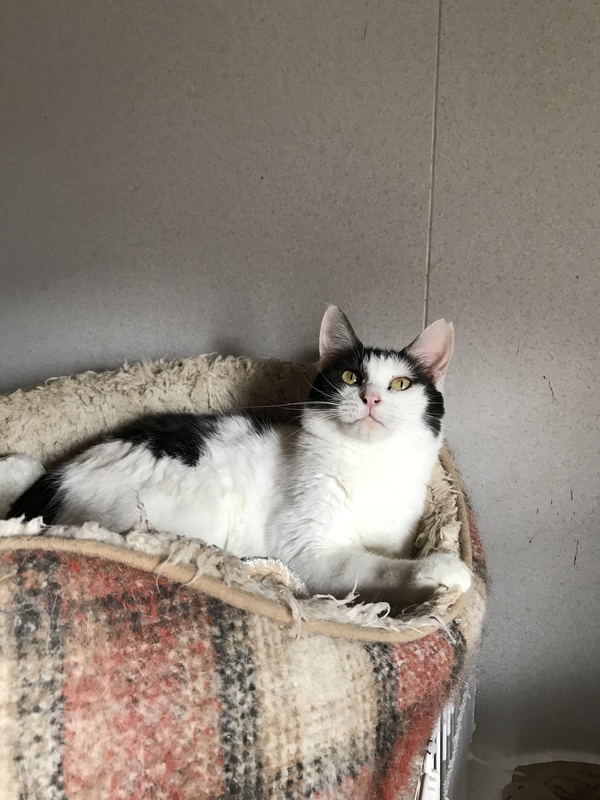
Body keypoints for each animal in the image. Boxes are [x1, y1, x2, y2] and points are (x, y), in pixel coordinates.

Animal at [9, 306, 471, 606]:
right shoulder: (306, 551)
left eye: (400, 384)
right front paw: (439, 570)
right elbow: (369, 568)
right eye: (349, 376)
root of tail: (58, 477)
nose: (371, 397)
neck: (368, 464)